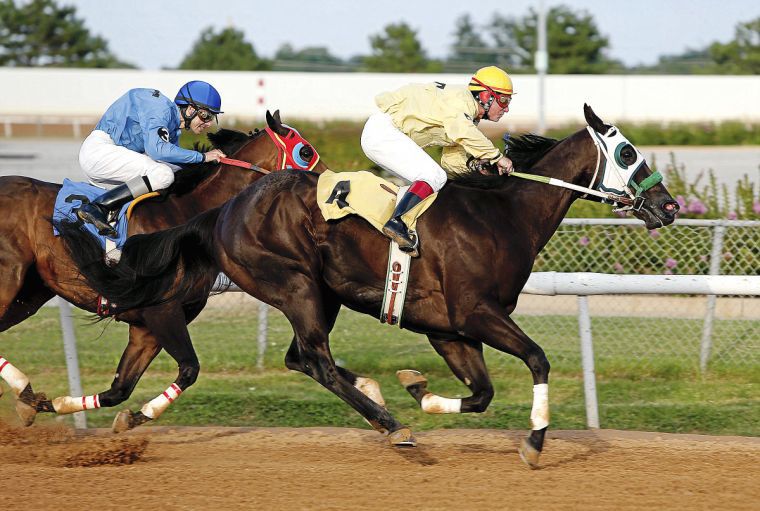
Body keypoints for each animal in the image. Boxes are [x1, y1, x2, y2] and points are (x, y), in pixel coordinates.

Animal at [0, 110, 324, 430]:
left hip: (30, 294)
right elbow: (190, 368)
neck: (186, 214)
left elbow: (120, 389)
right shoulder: (162, 310)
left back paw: (25, 390)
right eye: (305, 151)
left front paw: (56, 405)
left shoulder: (147, 325)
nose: (323, 189)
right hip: (10, 279)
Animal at [58, 105, 676, 468]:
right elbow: (539, 359)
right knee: (315, 359)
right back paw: (391, 425)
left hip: (321, 294)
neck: (503, 213)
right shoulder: (476, 313)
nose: (669, 206)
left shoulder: (448, 328)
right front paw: (534, 441)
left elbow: (481, 393)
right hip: (297, 286)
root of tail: (224, 209)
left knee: (301, 358)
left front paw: (417, 387)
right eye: (628, 152)